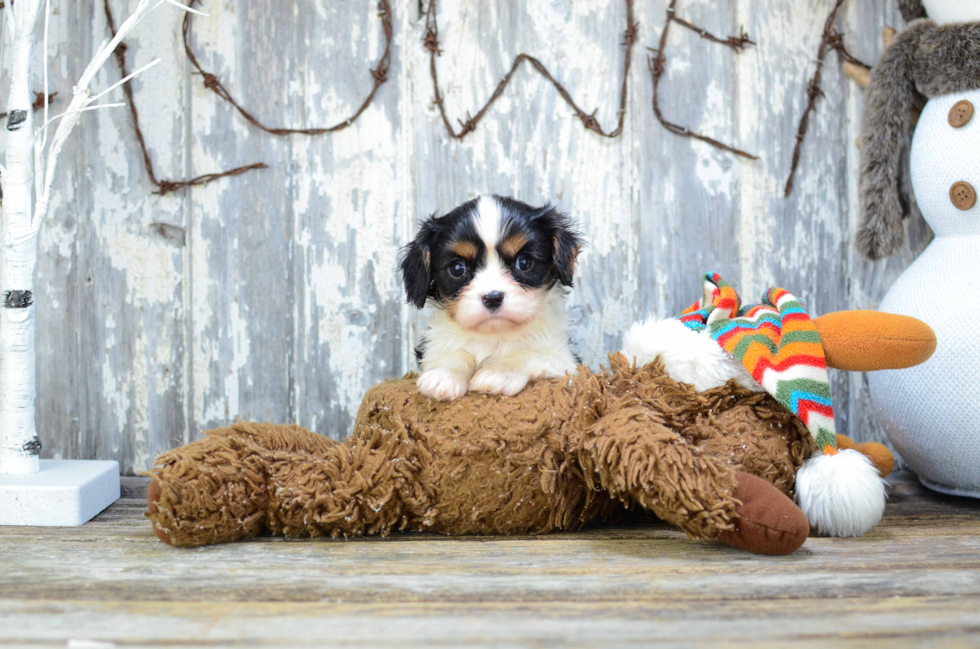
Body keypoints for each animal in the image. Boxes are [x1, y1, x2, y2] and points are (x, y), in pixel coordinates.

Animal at [400, 195, 580, 400]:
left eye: (524, 262)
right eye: (457, 268)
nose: (493, 297)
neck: (493, 334)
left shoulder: (564, 360)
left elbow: (528, 354)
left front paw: (498, 373)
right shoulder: (434, 348)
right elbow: (454, 354)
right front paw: (444, 375)